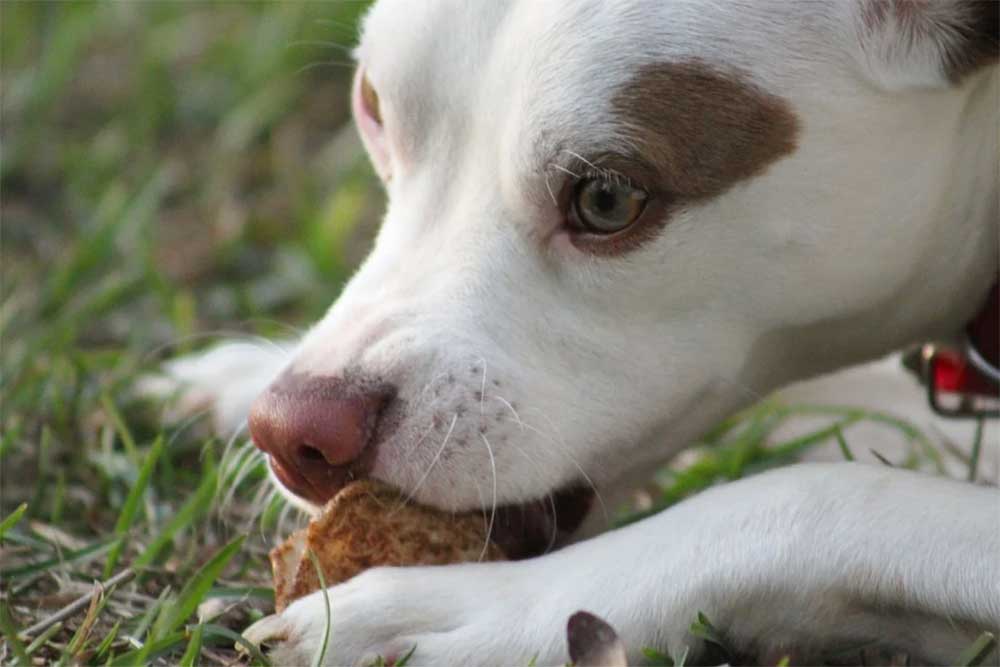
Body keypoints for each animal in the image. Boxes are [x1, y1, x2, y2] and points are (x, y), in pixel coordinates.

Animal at [152, 2, 996, 664]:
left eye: (608, 197)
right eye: (374, 109)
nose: (294, 430)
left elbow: (823, 493)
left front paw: (487, 605)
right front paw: (239, 373)